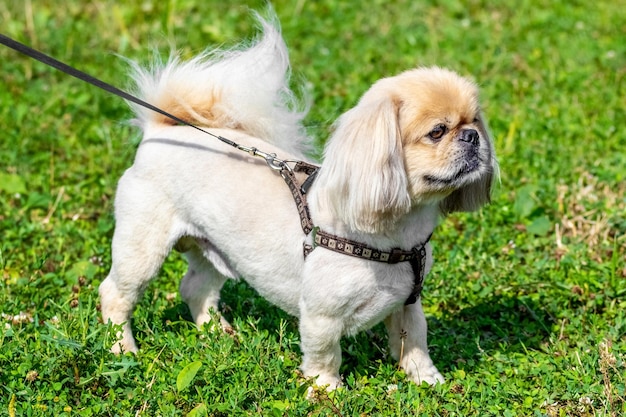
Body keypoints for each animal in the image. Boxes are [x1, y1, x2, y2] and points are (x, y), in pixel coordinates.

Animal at [100, 14, 494, 388]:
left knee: (196, 288)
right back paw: (121, 348)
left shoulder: (409, 304)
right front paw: (326, 391)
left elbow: (415, 342)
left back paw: (218, 333)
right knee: (115, 295)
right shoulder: (321, 316)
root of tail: (160, 131)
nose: (472, 136)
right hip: (142, 250)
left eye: (474, 121)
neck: (394, 236)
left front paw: (427, 381)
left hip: (213, 250)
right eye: (437, 132)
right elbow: (326, 356)